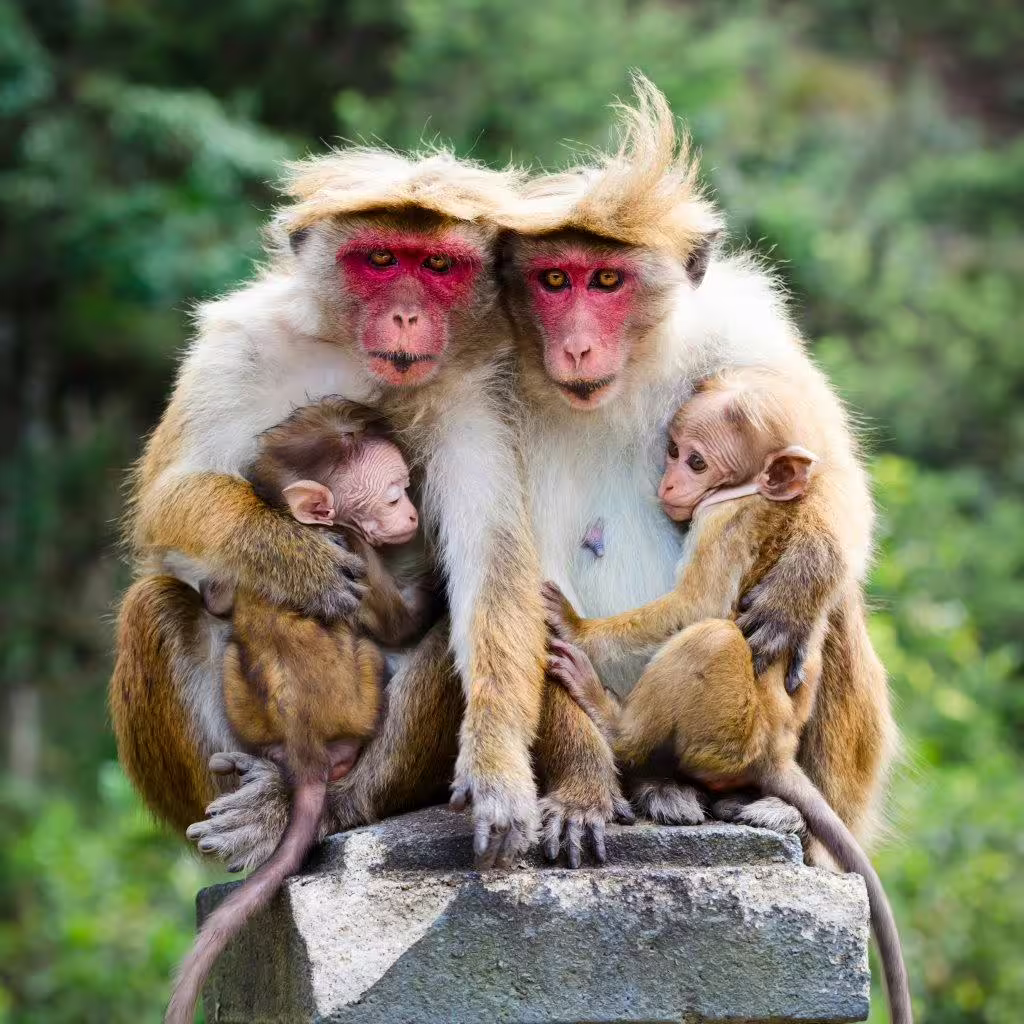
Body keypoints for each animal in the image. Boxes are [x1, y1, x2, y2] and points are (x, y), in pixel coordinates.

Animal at [110, 147, 547, 873]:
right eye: (380, 260)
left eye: (437, 266)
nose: (406, 317)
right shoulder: (237, 347)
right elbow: (167, 500)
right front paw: (291, 557)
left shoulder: (480, 386)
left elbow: (492, 558)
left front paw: (499, 766)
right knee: (155, 603)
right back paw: (260, 807)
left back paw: (330, 806)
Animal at [164, 399, 431, 1024]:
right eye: (393, 496)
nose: (413, 512)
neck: (305, 525)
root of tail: (306, 745)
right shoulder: (354, 549)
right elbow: (396, 622)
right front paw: (432, 589)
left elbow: (223, 590)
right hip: (362, 698)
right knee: (372, 655)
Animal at [539, 370, 910, 1024]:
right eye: (672, 450)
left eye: (696, 460)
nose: (668, 482)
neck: (753, 494)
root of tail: (774, 754)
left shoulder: (725, 520)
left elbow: (700, 606)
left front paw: (576, 628)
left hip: (726, 729)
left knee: (710, 637)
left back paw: (610, 720)